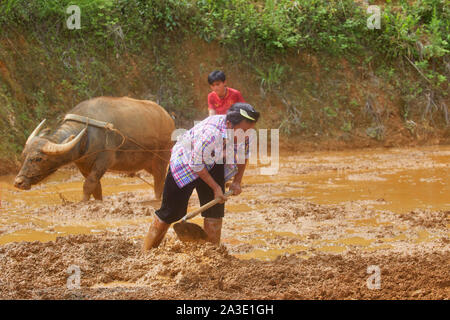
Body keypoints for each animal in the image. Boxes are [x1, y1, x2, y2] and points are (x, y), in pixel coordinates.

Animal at [13, 96, 175, 200]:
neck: (86, 135)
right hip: (147, 162)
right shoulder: (83, 165)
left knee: (159, 181)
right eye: (24, 156)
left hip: (162, 157)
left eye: (38, 158)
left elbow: (88, 185)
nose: (18, 182)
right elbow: (96, 189)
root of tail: (168, 118)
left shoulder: (103, 162)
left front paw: (82, 202)